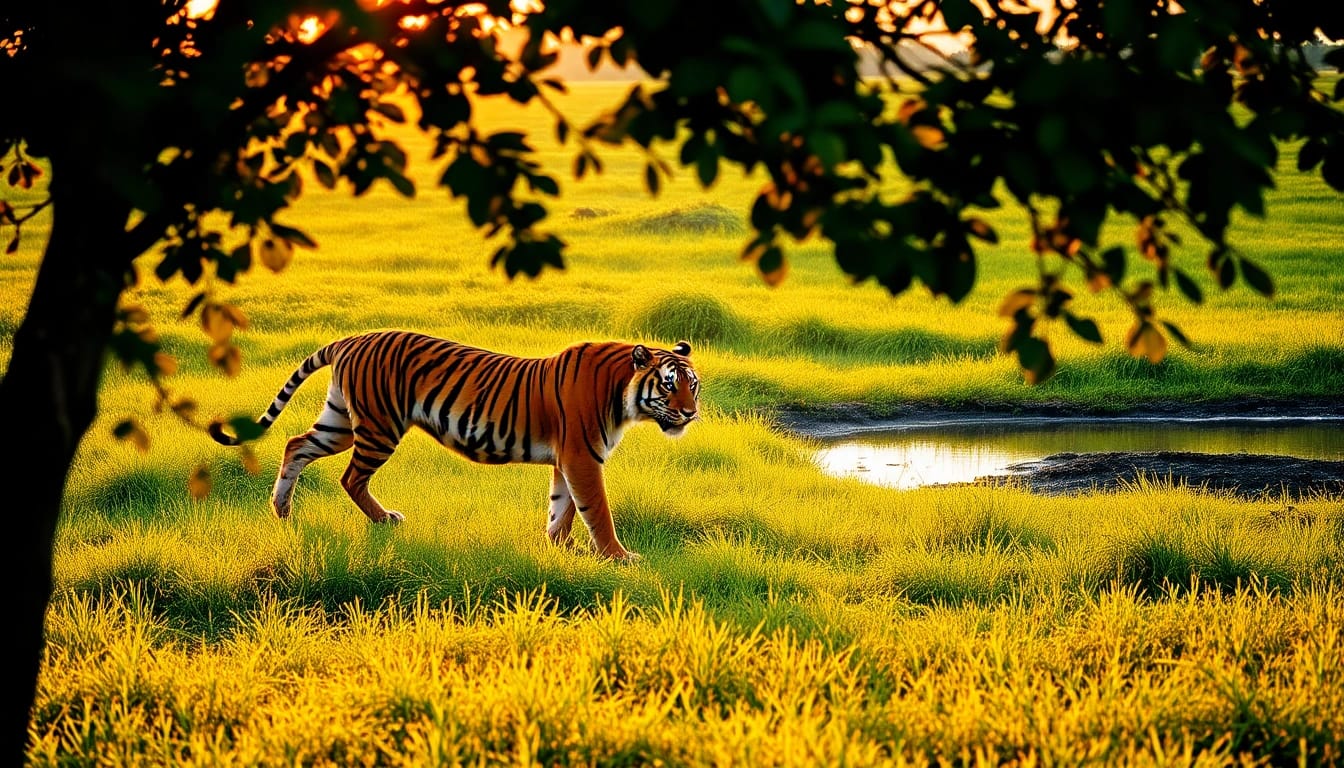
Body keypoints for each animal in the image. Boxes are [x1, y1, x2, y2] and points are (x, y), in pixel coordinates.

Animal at [207, 330, 700, 561]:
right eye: (669, 385)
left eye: (692, 384)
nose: (692, 413)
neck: (623, 396)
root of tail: (352, 339)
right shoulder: (582, 457)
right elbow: (595, 509)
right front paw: (618, 556)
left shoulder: (567, 460)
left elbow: (561, 509)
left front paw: (561, 550)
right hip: (379, 427)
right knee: (350, 476)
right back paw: (384, 520)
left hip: (341, 421)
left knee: (296, 445)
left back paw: (281, 510)